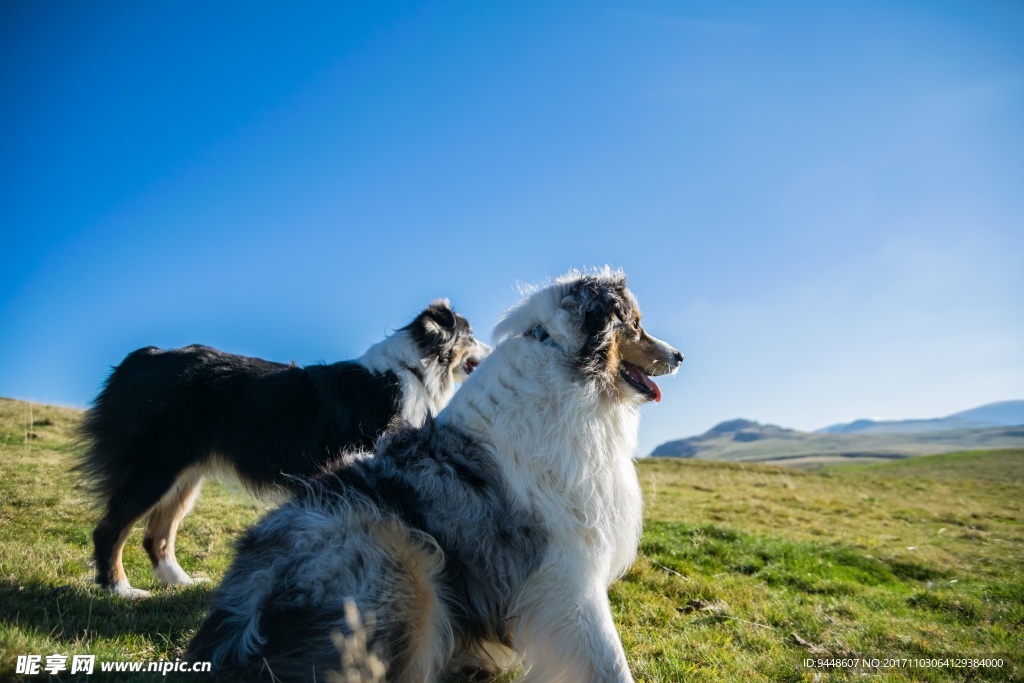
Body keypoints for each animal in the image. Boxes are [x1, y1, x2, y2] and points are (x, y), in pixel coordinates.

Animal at [74, 299, 487, 598]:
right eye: (471, 334)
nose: (493, 345)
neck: (416, 370)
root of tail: (143, 356)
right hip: (155, 467)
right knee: (110, 530)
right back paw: (121, 589)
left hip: (186, 475)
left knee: (156, 535)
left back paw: (180, 582)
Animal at [188, 268, 684, 683]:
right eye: (635, 324)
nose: (679, 355)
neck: (568, 366)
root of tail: (231, 624)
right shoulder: (567, 571)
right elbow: (609, 660)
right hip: (405, 560)